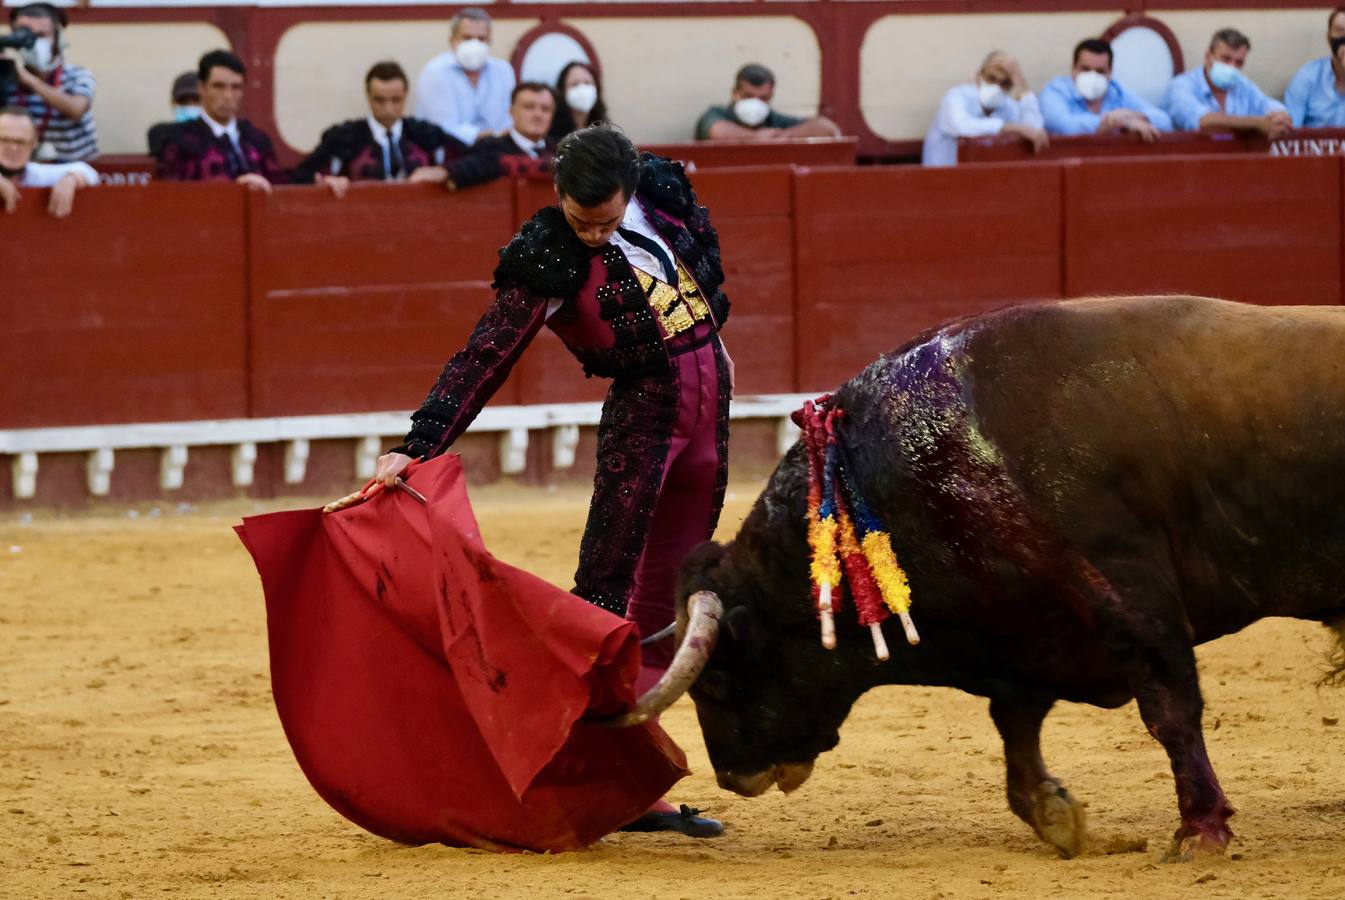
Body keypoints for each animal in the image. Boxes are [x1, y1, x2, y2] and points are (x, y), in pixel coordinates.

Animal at [616, 294, 1345, 855]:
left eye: (716, 677)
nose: (731, 776)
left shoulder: (1130, 601)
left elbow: (1170, 713)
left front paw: (1200, 831)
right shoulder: (1029, 632)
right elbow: (1014, 726)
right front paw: (1060, 819)